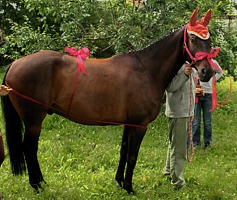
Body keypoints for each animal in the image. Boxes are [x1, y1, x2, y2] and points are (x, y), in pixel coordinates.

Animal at [1, 8, 217, 194]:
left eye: (209, 40)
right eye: (192, 38)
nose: (206, 72)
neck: (146, 70)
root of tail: (15, 64)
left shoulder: (129, 124)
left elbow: (123, 152)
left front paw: (120, 182)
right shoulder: (140, 125)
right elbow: (132, 155)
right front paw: (129, 187)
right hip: (34, 121)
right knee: (29, 148)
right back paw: (37, 185)